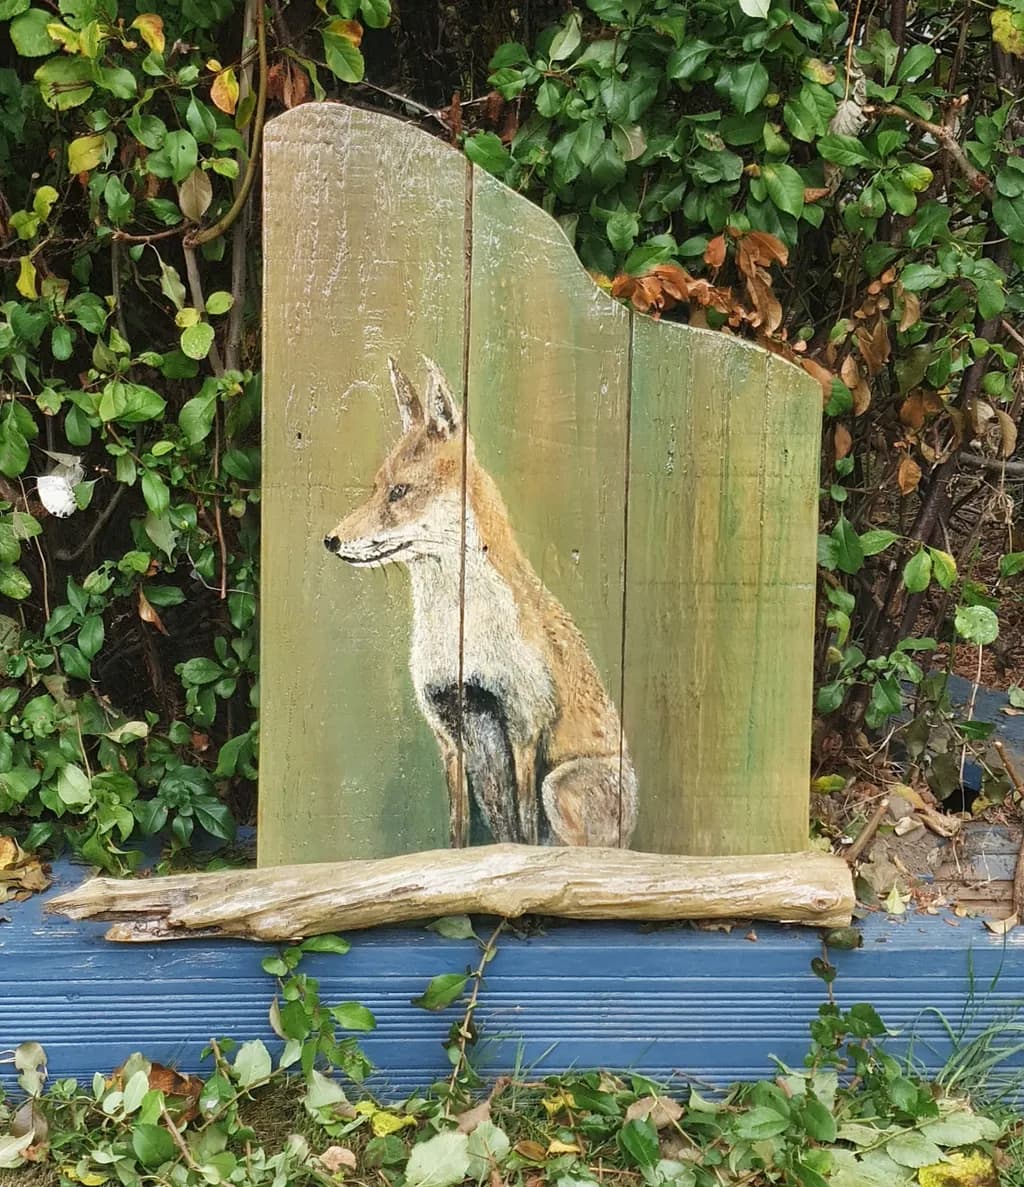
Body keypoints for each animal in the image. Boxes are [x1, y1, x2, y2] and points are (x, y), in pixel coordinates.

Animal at [324, 357, 637, 850]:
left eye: (399, 492)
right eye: (375, 488)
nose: (331, 540)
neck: (462, 634)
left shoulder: (524, 725)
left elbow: (524, 832)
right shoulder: (448, 733)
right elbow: (459, 829)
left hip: (560, 785)